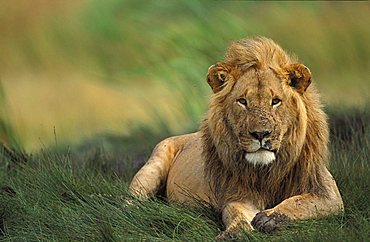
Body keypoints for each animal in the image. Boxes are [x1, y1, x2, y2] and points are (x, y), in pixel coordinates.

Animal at [130, 36, 344, 237]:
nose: (260, 134)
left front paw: (270, 217)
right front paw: (236, 232)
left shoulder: (328, 193)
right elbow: (236, 213)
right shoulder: (238, 194)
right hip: (151, 168)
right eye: (242, 101)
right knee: (130, 202)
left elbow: (300, 203)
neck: (266, 172)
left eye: (275, 101)